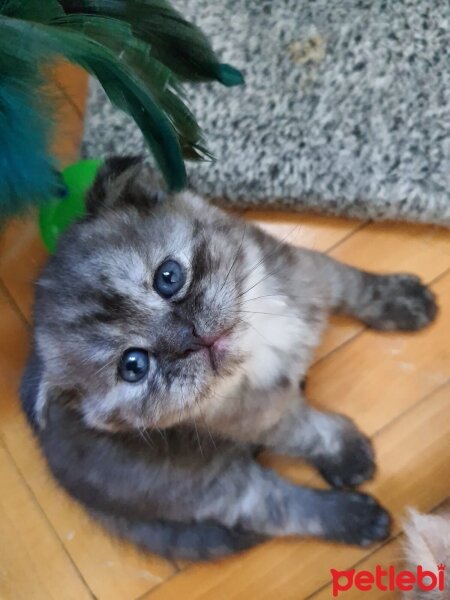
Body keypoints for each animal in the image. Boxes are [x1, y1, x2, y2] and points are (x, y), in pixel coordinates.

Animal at [19, 157, 438, 560]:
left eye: (168, 277)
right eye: (134, 366)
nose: (190, 337)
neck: (257, 339)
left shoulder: (309, 270)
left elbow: (353, 285)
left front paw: (399, 300)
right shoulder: (261, 418)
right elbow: (312, 433)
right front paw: (345, 452)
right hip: (216, 487)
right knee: (280, 511)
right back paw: (354, 516)